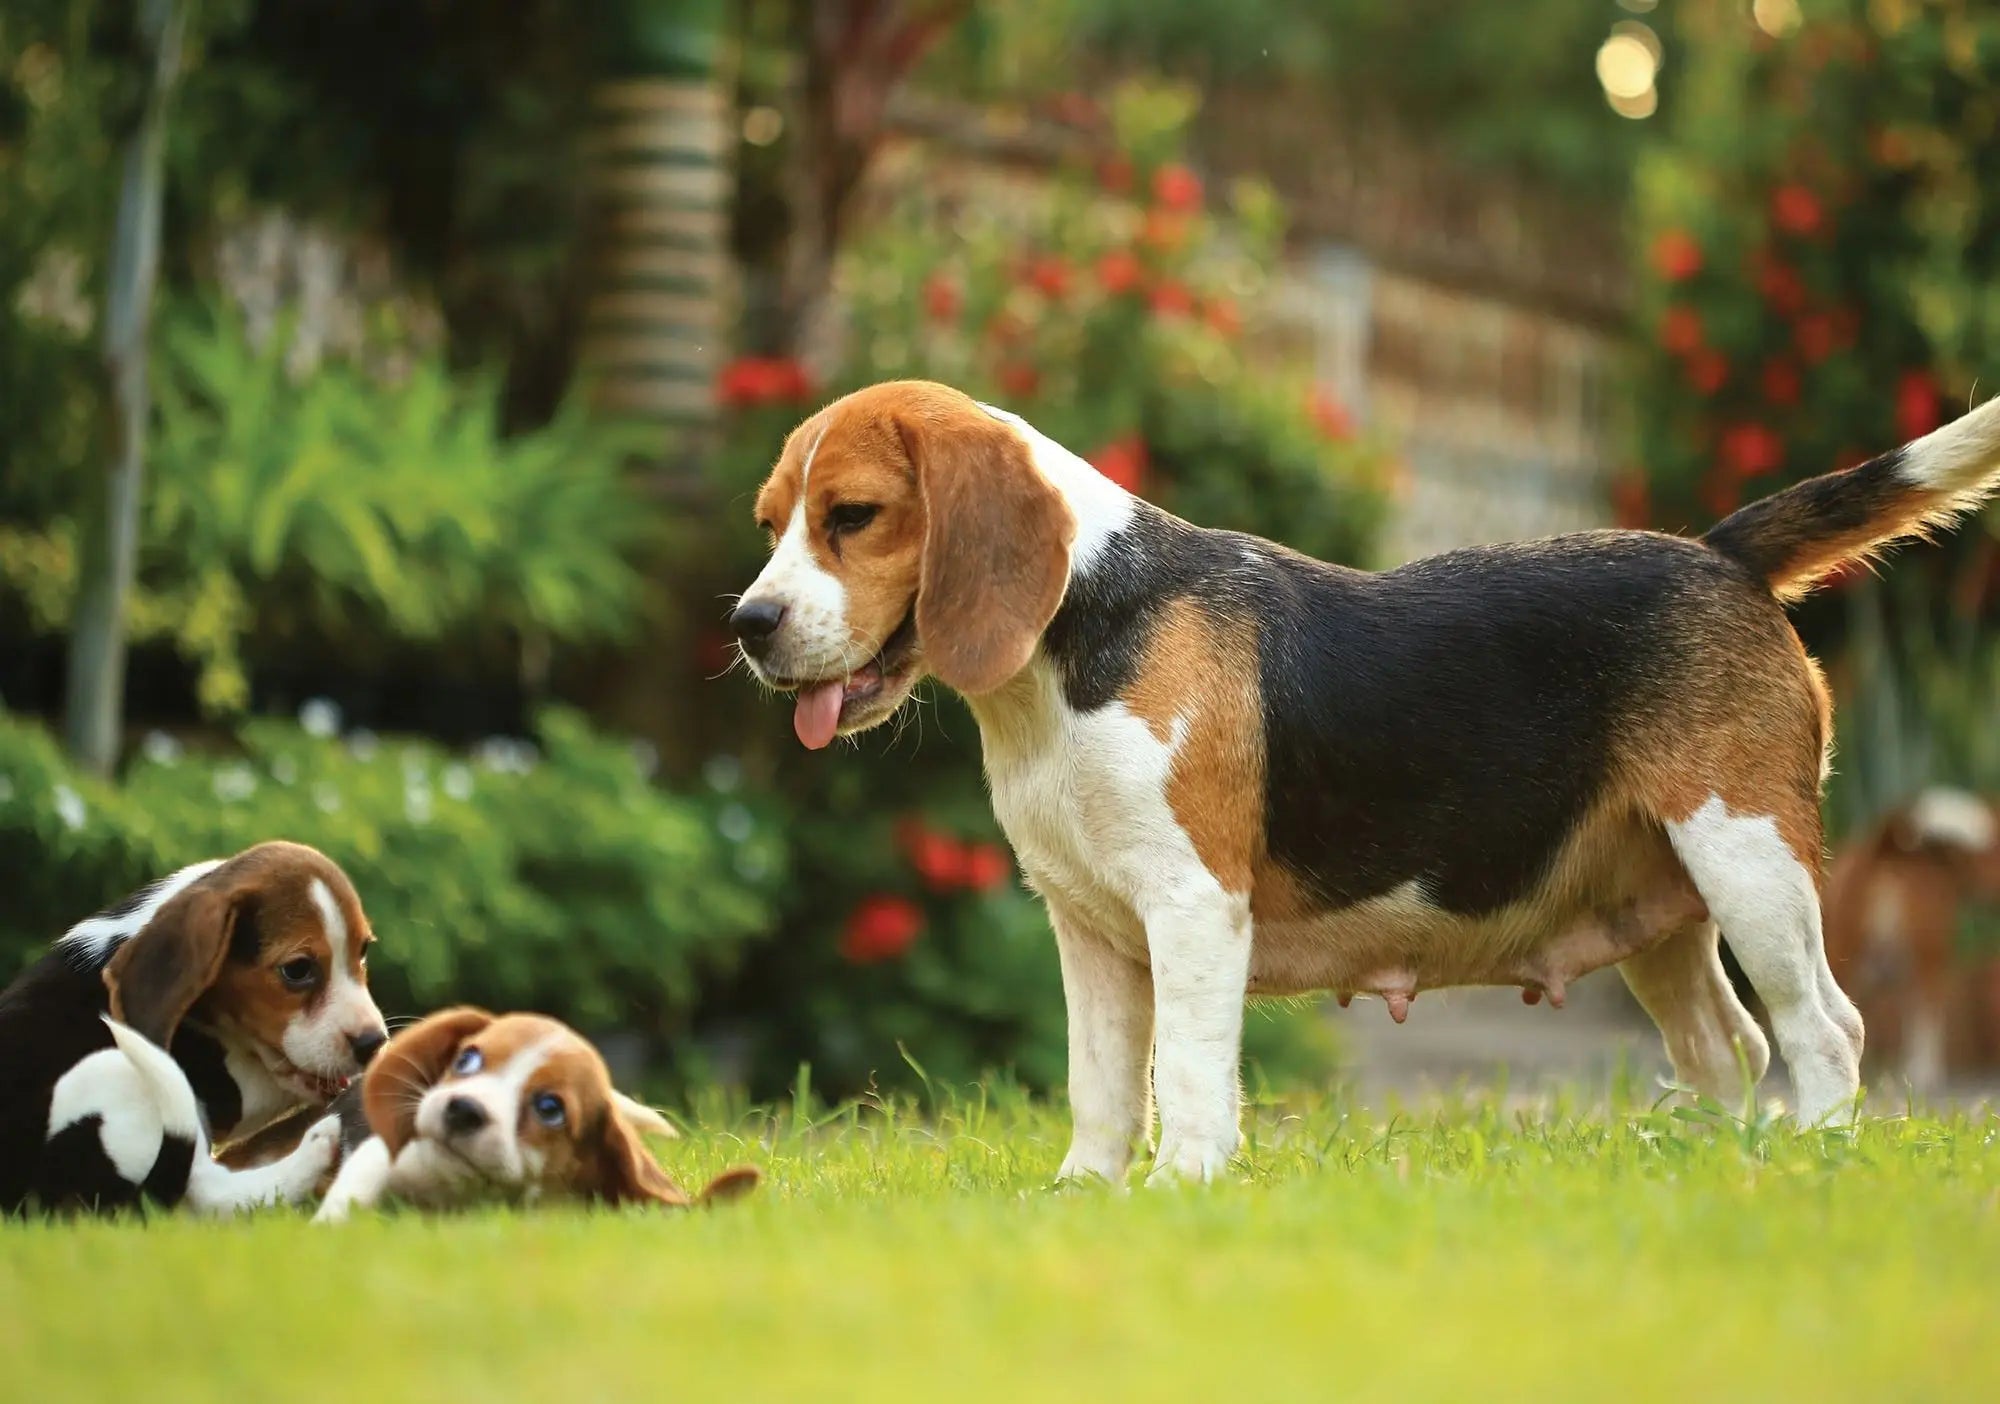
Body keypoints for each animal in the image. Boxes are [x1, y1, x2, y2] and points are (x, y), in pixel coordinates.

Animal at [0, 848, 388, 1224]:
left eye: (363, 951)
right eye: (297, 970)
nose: (373, 1044)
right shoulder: (224, 1084)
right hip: (113, 1073)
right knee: (211, 1191)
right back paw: (316, 1147)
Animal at [316, 1008, 760, 1224]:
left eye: (550, 1109)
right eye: (467, 1058)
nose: (463, 1109)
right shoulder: (381, 1155)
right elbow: (355, 1187)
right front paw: (330, 1225)